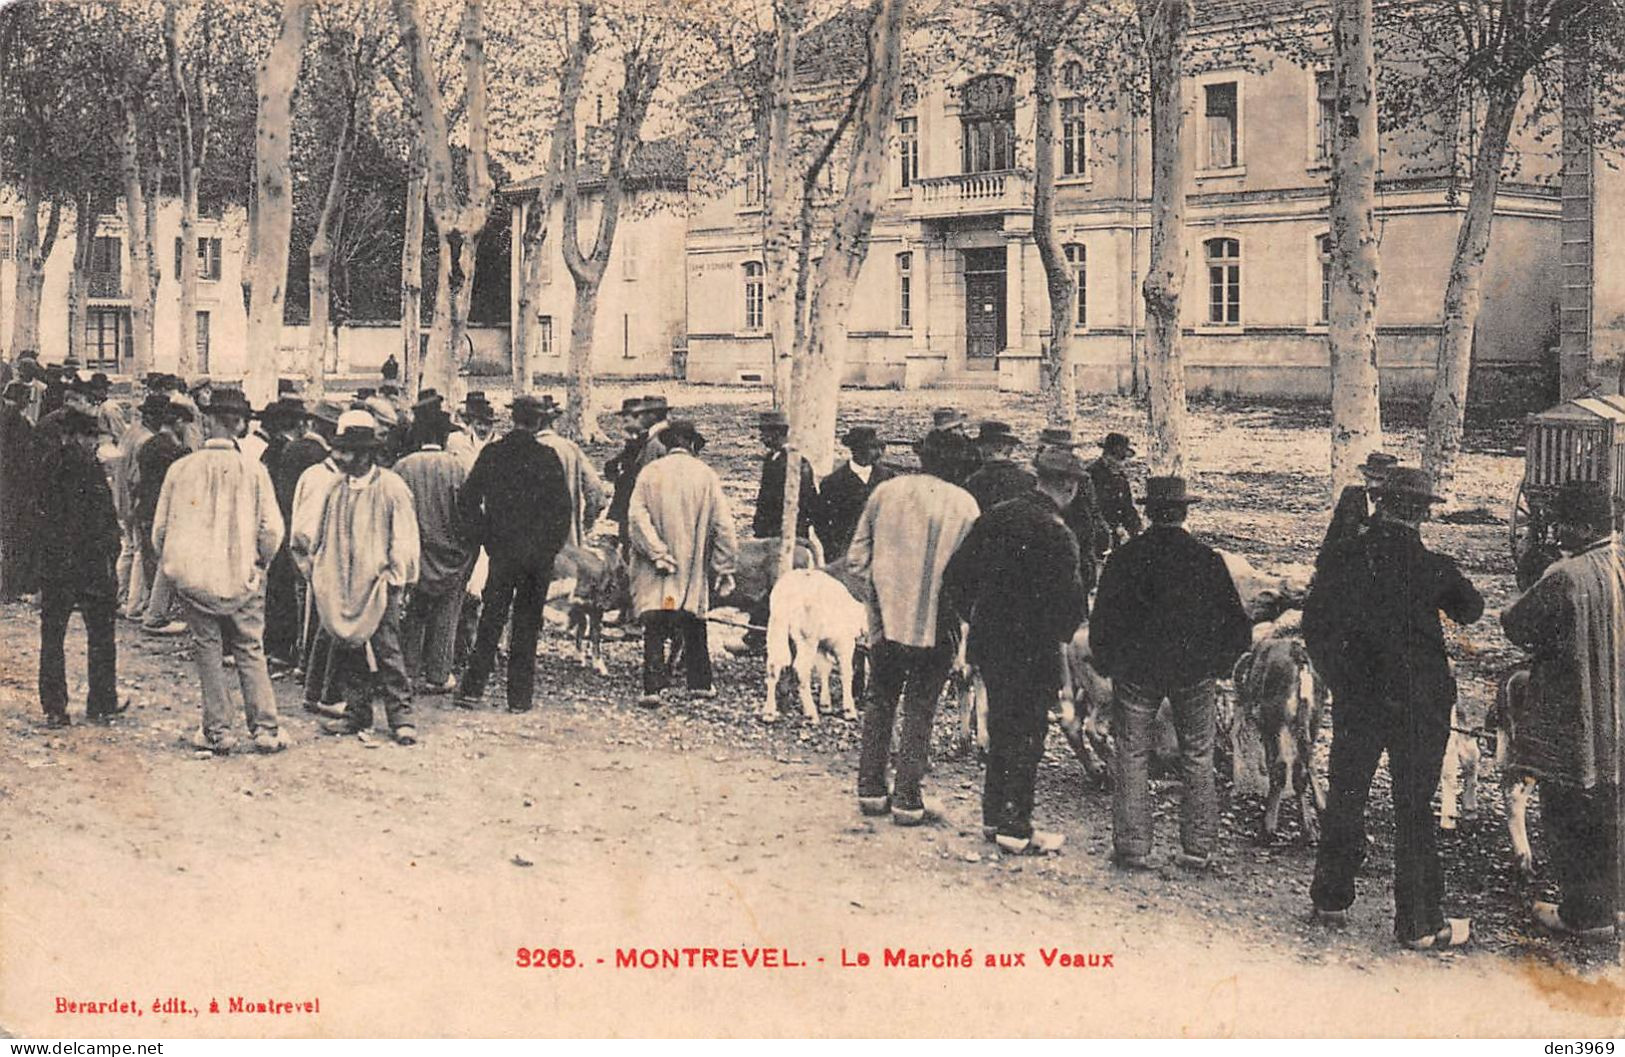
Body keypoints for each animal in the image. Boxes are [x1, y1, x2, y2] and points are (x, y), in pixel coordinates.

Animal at [767, 569, 871, 725]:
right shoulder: (844, 644)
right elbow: (846, 673)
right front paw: (849, 711)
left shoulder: (822, 646)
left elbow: (825, 668)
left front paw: (825, 705)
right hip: (807, 638)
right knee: (801, 669)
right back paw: (811, 714)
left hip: (776, 628)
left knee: (773, 665)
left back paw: (769, 713)